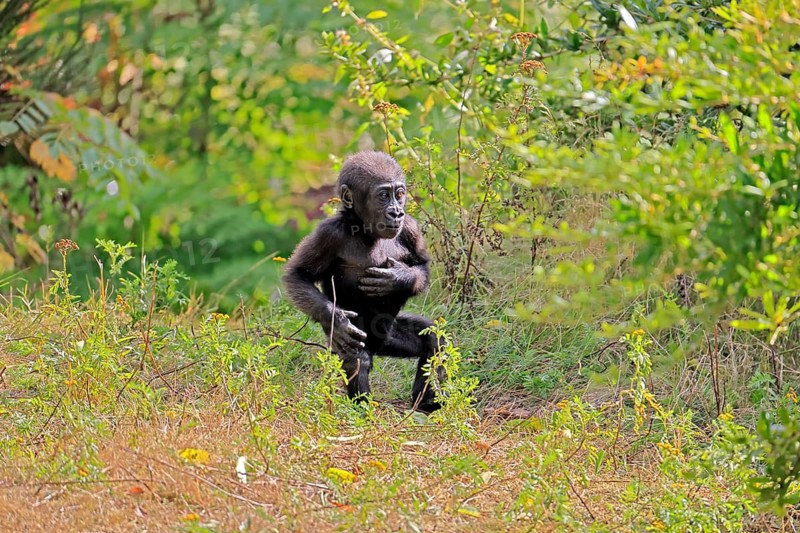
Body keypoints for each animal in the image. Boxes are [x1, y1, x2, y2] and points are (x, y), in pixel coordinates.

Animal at [283, 151, 443, 413]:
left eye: (399, 194)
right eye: (383, 196)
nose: (396, 212)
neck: (365, 229)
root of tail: (380, 347)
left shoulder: (410, 228)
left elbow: (422, 266)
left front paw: (398, 278)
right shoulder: (328, 233)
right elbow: (298, 275)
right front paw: (337, 319)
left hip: (390, 338)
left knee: (432, 338)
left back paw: (427, 403)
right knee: (359, 358)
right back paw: (362, 410)